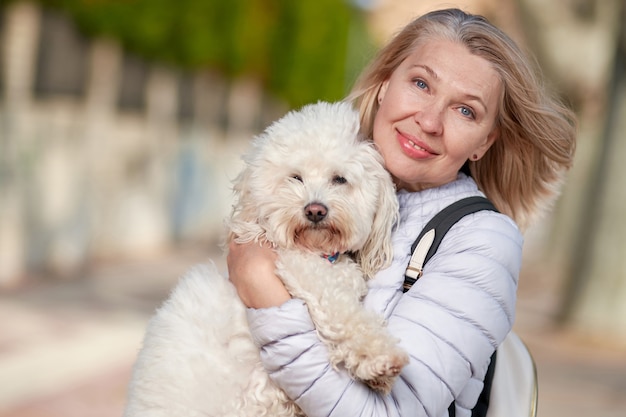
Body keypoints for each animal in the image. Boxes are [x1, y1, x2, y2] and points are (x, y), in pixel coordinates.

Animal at [124, 101, 408, 416]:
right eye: (295, 177)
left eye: (340, 179)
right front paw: (379, 358)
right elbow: (344, 314)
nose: (315, 210)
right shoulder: (303, 273)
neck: (318, 253)